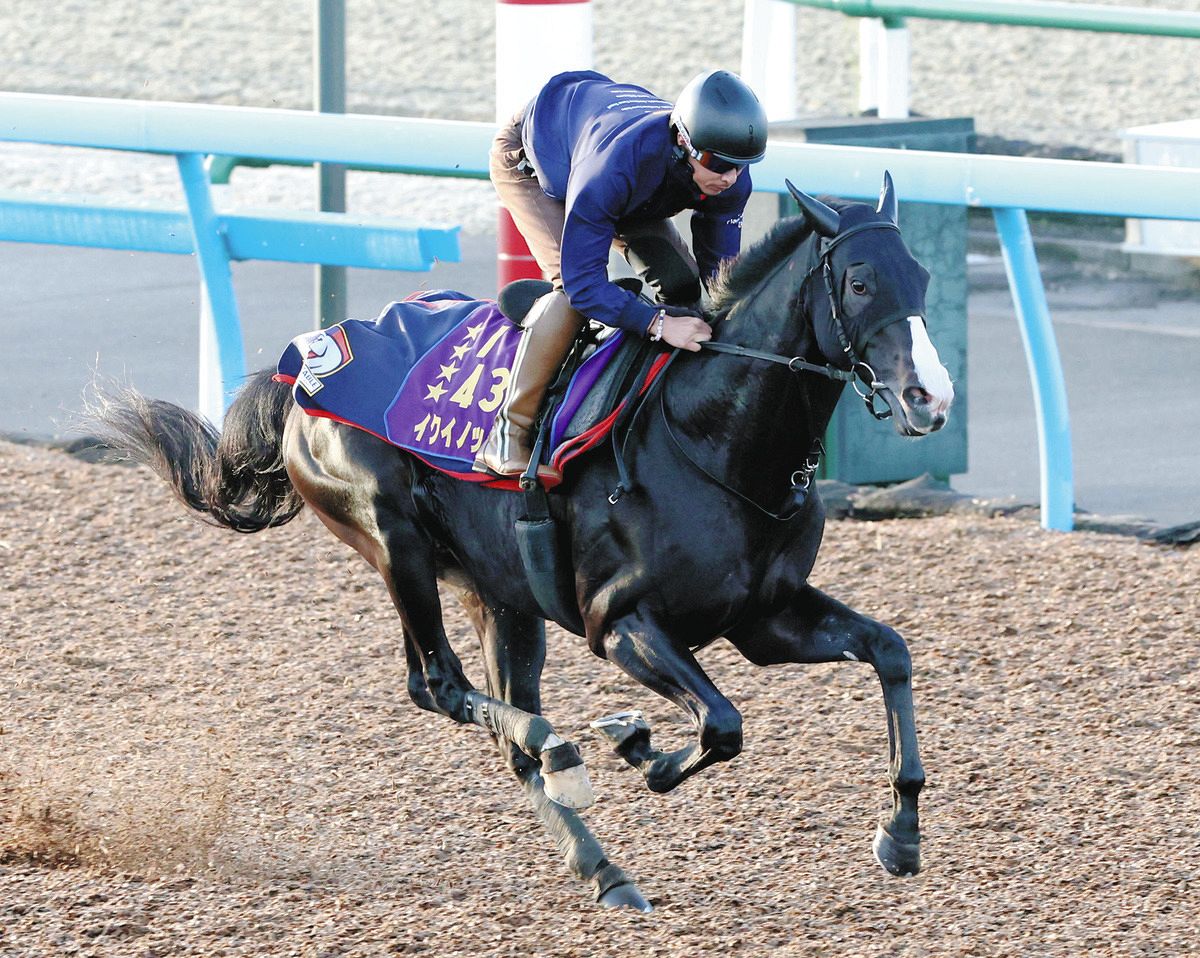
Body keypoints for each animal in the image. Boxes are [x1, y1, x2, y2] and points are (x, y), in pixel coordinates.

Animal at [93, 174, 955, 917]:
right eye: (859, 282)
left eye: (921, 274)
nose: (930, 397)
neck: (711, 436)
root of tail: (307, 359)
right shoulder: (621, 622)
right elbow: (721, 724)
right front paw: (634, 743)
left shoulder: (764, 618)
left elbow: (889, 650)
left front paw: (902, 833)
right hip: (393, 538)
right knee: (439, 687)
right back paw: (566, 757)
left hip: (500, 596)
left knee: (500, 727)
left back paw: (604, 869)